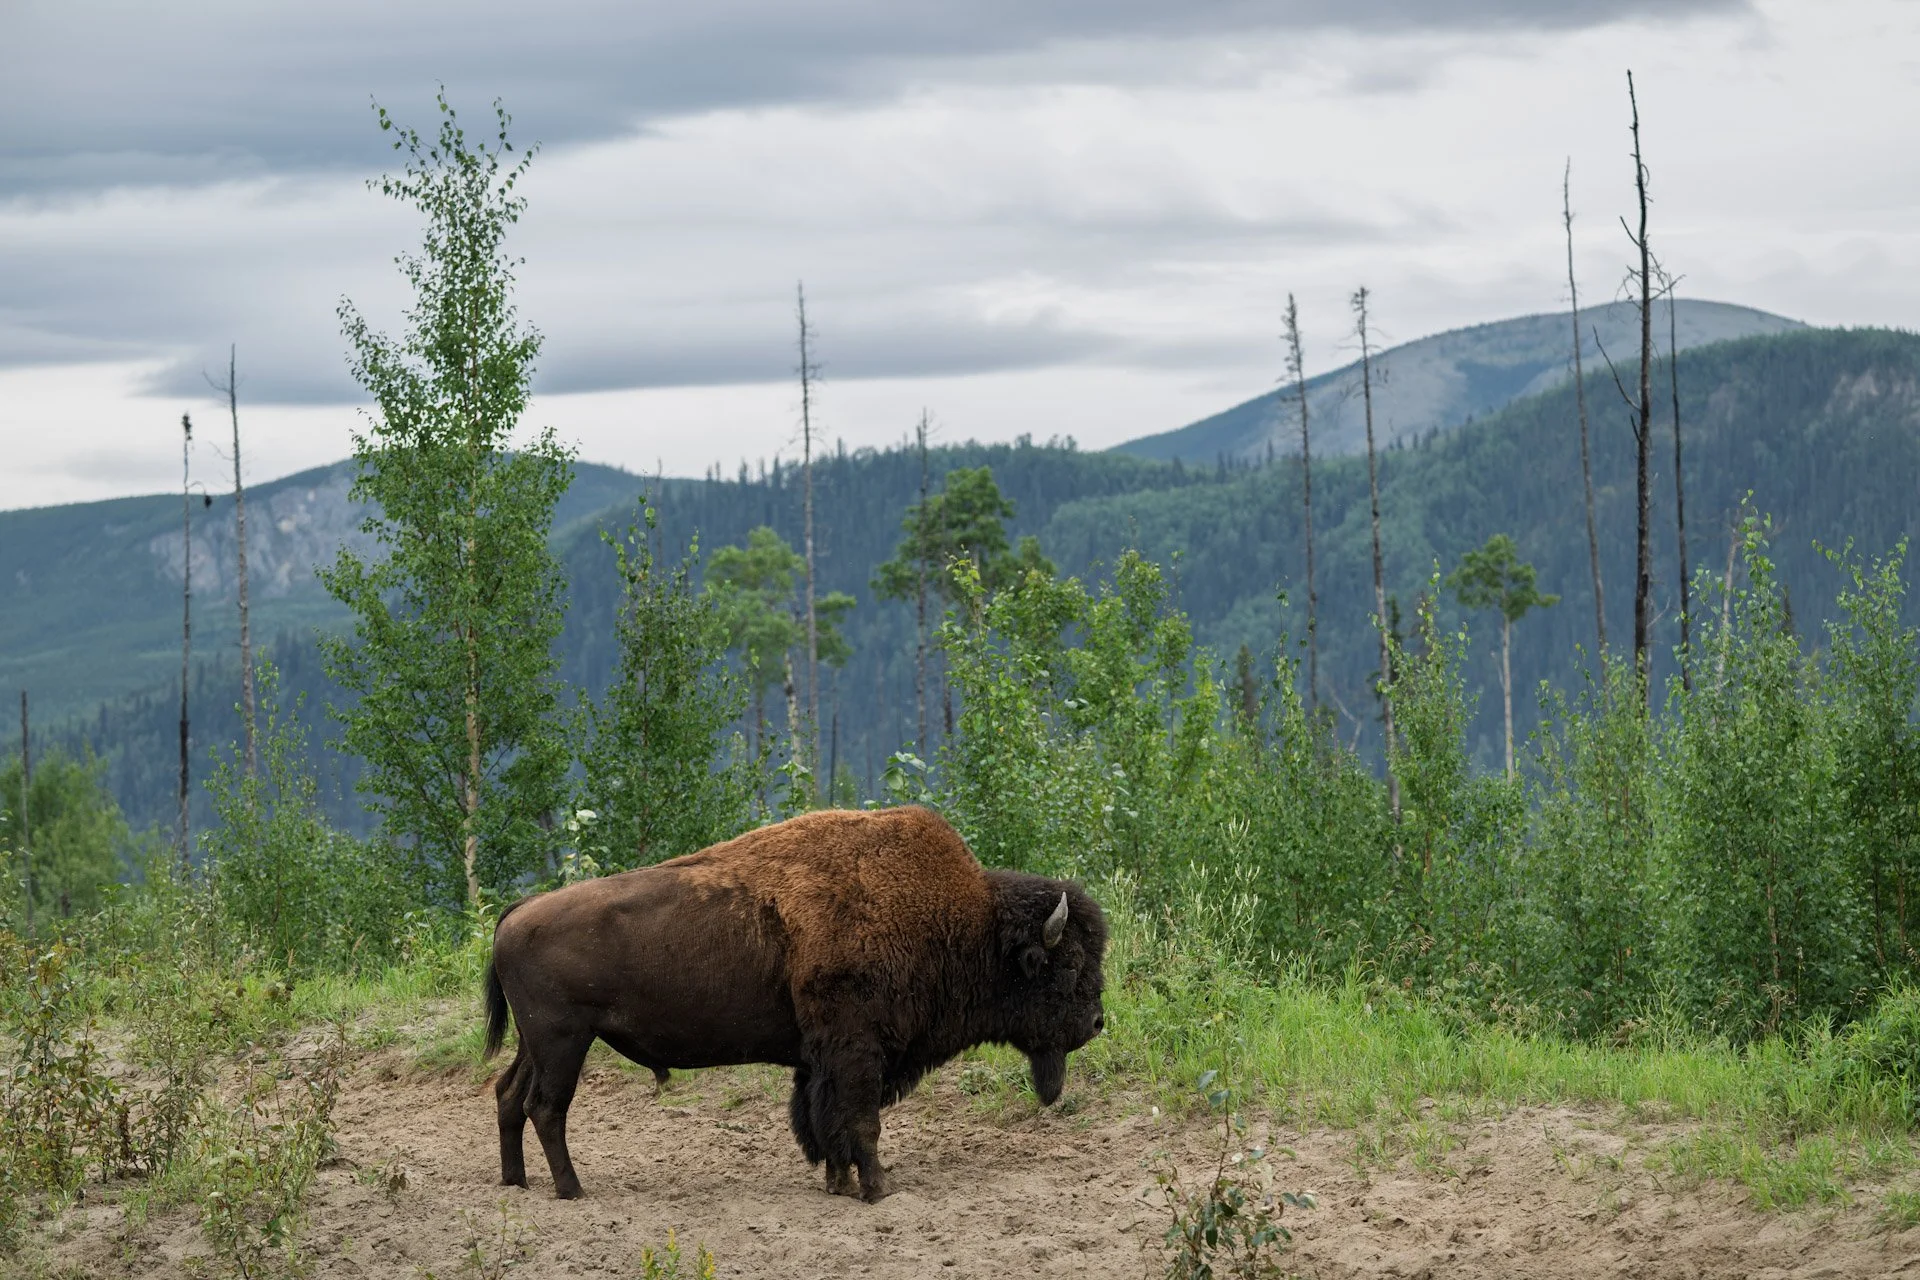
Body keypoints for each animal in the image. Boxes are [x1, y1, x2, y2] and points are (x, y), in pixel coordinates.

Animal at [482, 805, 1108, 1201]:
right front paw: (876, 1190)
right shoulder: (858, 1051)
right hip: (564, 1042)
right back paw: (573, 1190)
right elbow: (860, 1121)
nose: (1099, 1021)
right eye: (1070, 965)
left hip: (536, 1043)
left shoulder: (819, 1062)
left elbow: (825, 1124)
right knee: (546, 1107)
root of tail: (517, 912)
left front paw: (839, 1184)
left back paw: (516, 1181)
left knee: (509, 1094)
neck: (965, 924)